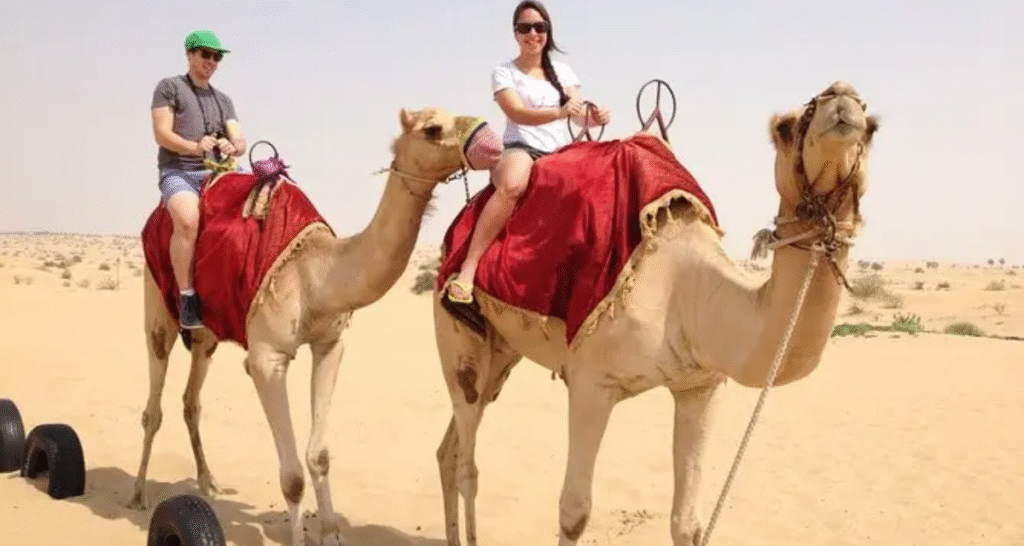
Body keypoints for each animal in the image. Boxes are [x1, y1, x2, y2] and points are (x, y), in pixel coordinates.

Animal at [129, 107, 496, 546]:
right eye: (432, 128)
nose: (489, 138)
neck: (317, 275)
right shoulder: (266, 359)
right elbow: (291, 477)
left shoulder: (329, 345)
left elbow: (319, 457)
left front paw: (332, 533)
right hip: (157, 301)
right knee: (154, 401)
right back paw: (137, 494)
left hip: (207, 332)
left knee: (191, 399)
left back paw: (209, 482)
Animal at [431, 81, 879, 546]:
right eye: (786, 128)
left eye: (873, 126)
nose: (842, 99)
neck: (686, 292)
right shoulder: (591, 381)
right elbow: (574, 512)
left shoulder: (701, 385)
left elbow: (687, 523)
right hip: (455, 332)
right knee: (466, 459)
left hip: (502, 352)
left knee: (450, 448)